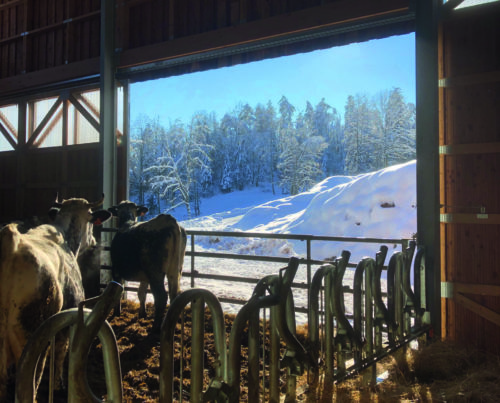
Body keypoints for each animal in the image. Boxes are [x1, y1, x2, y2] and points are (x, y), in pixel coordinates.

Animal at [0, 196, 110, 400]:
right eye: (91, 220)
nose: (92, 241)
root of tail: (11, 243)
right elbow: (61, 351)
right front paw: (59, 384)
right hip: (31, 343)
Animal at [108, 200, 187, 332]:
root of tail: (169, 220)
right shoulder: (144, 276)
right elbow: (141, 293)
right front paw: (142, 313)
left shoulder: (116, 270)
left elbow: (118, 290)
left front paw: (116, 313)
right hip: (175, 270)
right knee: (174, 295)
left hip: (155, 272)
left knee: (161, 297)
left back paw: (155, 327)